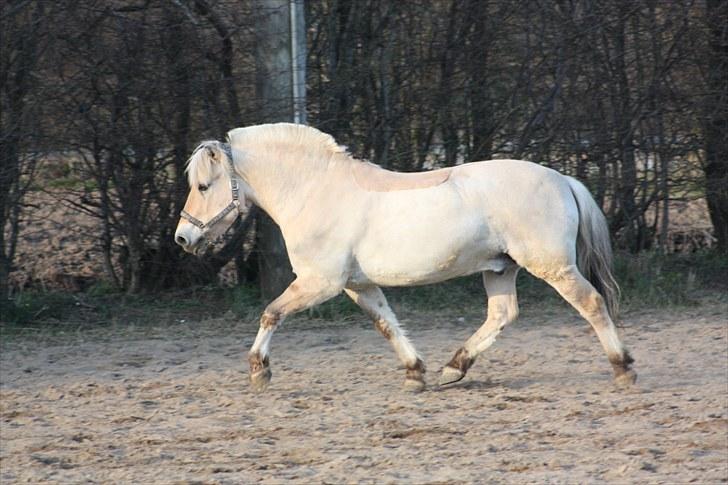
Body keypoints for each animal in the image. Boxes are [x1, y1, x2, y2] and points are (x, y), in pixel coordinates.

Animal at [176, 123, 636, 392]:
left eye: (203, 186)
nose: (183, 238)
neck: (315, 192)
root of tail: (562, 178)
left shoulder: (319, 282)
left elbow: (271, 312)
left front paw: (259, 370)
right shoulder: (358, 285)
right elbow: (386, 324)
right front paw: (416, 372)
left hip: (553, 267)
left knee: (592, 304)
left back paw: (623, 368)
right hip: (501, 268)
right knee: (502, 314)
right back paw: (454, 368)